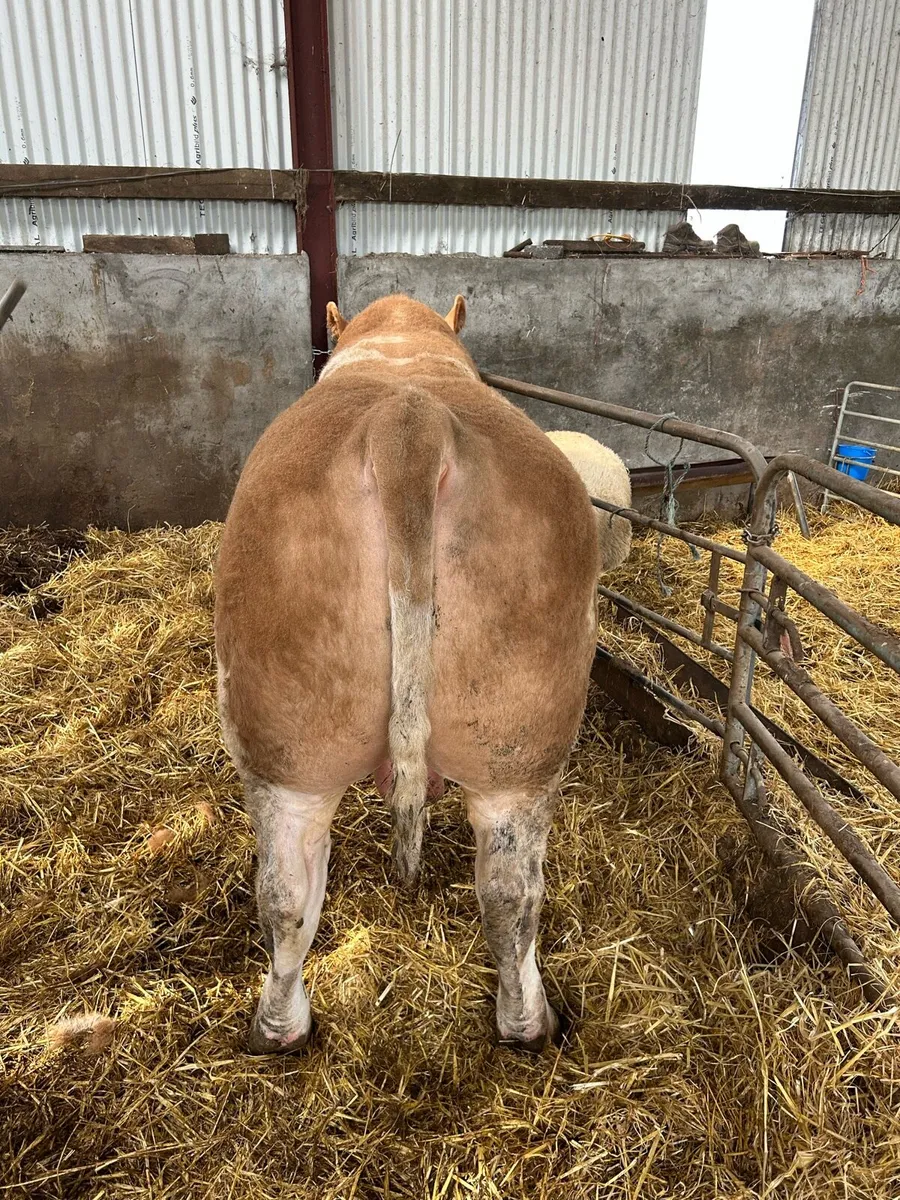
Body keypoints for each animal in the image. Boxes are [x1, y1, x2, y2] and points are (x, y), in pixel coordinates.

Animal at [215, 294, 599, 1055]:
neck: (400, 346)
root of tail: (408, 424)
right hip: (511, 750)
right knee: (504, 893)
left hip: (305, 746)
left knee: (291, 892)